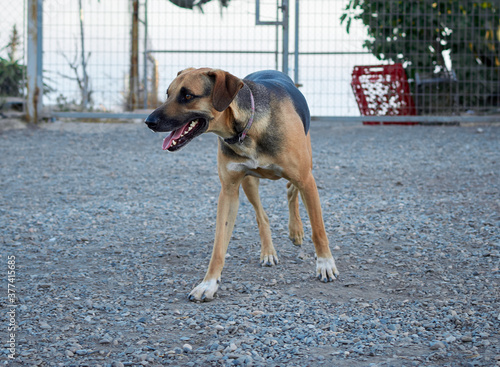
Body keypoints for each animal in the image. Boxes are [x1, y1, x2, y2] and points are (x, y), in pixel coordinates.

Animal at [145, 69, 340, 302]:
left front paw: (325, 264)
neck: (247, 127)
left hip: (305, 167)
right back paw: (268, 252)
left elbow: (318, 229)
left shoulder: (306, 180)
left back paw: (296, 231)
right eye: (168, 94)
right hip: (249, 183)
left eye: (188, 96)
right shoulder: (229, 191)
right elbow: (219, 245)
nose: (148, 121)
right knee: (262, 216)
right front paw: (208, 284)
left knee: (291, 189)